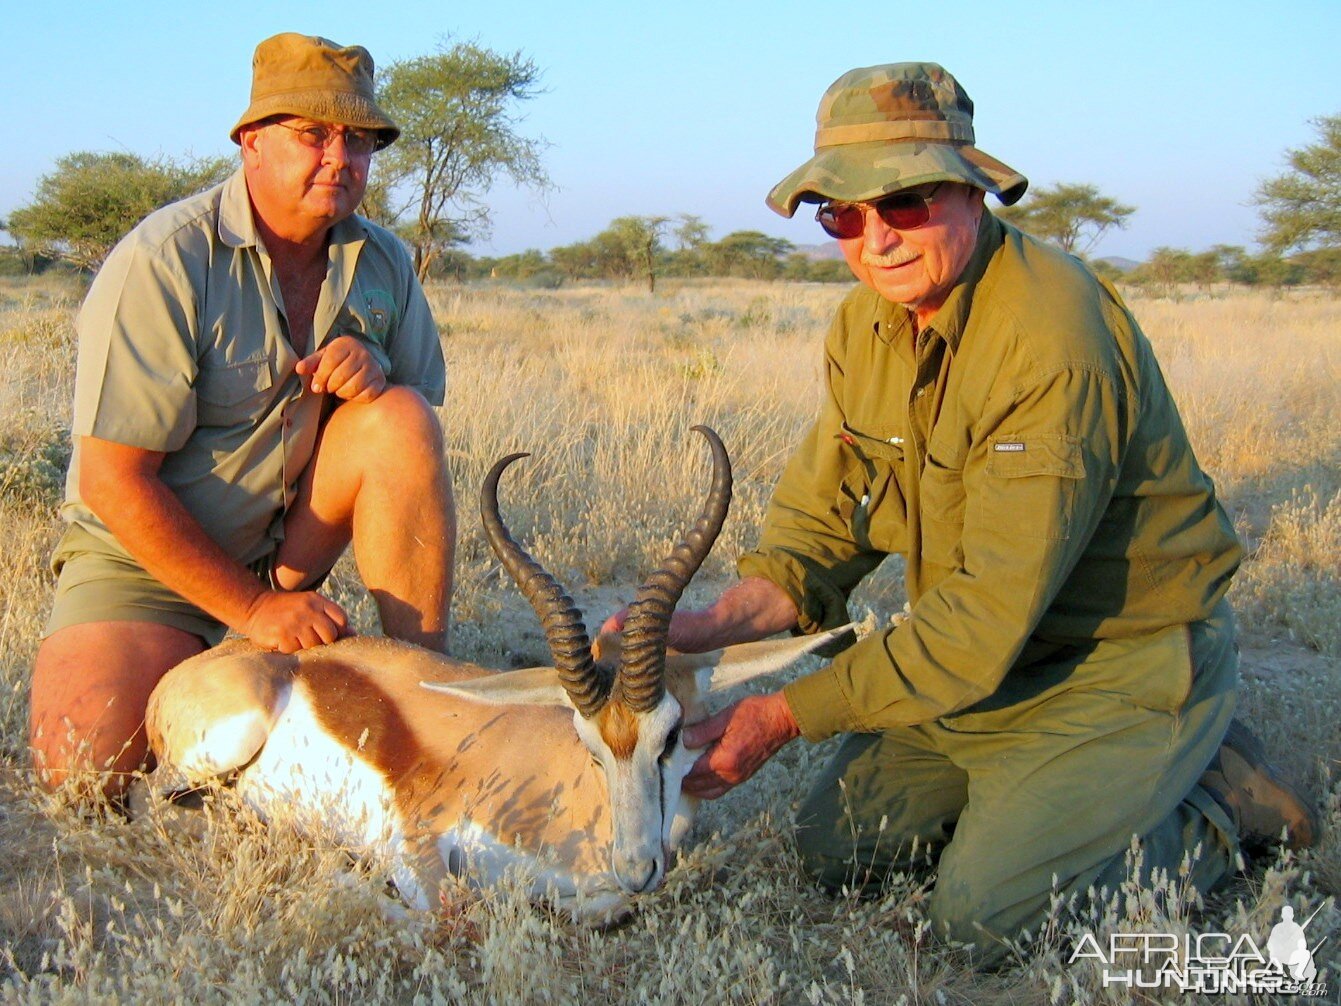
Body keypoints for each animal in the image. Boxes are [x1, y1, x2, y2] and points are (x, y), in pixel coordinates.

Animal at [146, 429, 852, 928]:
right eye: (588, 745)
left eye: (673, 736)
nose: (635, 867)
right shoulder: (415, 838)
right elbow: (453, 916)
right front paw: (338, 874)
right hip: (223, 744)